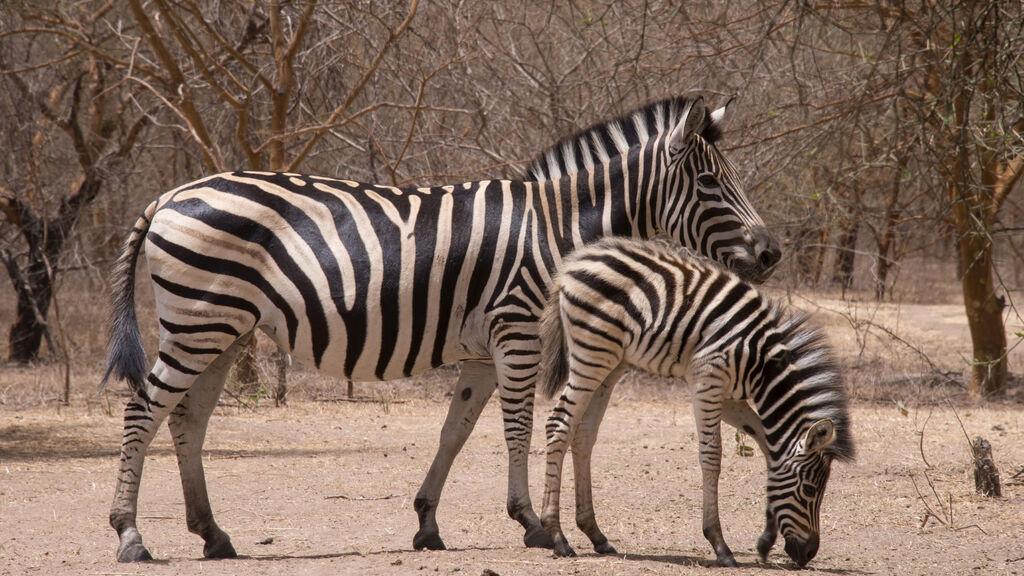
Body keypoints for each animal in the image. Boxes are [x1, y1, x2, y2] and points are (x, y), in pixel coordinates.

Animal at [540, 236, 851, 565]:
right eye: (810, 489)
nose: (808, 553)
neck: (763, 365)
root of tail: (572, 265)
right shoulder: (707, 380)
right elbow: (712, 454)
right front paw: (720, 544)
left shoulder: (729, 396)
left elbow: (768, 448)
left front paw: (766, 539)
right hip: (591, 354)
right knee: (559, 425)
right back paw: (557, 537)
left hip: (611, 362)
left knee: (583, 434)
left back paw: (595, 534)